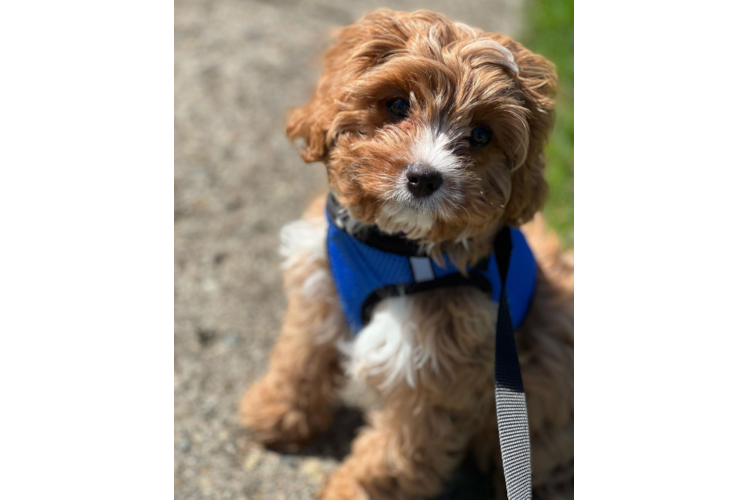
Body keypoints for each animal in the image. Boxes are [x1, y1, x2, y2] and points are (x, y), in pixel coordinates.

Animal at [240, 9, 572, 498]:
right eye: (397, 105)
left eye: (481, 135)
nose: (424, 177)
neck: (395, 245)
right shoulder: (320, 278)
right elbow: (299, 353)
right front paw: (275, 411)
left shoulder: (435, 366)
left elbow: (395, 452)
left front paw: (350, 490)